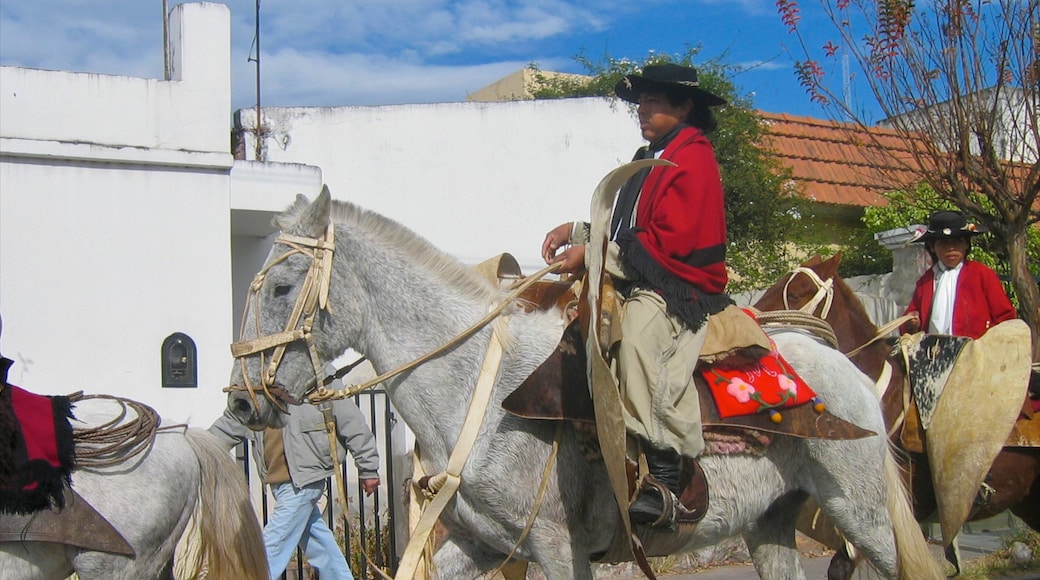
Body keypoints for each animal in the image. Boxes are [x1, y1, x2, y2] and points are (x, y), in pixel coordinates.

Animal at [225, 186, 944, 580]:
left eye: (282, 286)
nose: (242, 400)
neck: (480, 392)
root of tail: (845, 367)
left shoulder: (557, 546)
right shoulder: (477, 544)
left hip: (863, 513)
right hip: (772, 522)